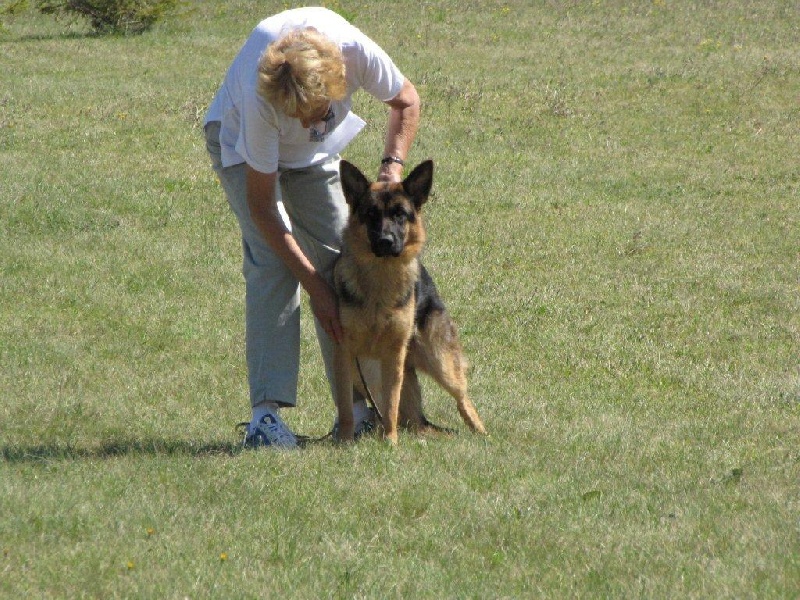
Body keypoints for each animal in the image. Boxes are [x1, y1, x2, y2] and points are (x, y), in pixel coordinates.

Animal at [332, 159, 488, 446]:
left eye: (400, 215)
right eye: (371, 214)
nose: (386, 241)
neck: (380, 281)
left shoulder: (393, 356)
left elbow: (391, 405)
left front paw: (390, 442)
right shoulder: (345, 354)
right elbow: (347, 407)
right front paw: (345, 441)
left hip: (439, 361)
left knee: (461, 396)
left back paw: (480, 431)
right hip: (368, 373)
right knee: (414, 420)